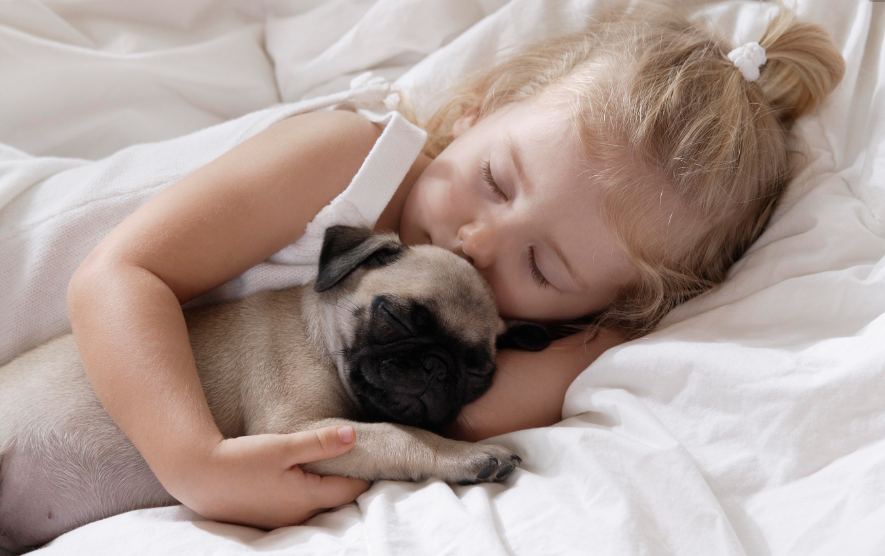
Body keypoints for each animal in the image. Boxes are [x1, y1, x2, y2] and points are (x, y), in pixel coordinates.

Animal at [0, 225, 548, 552]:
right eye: (392, 316)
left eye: (478, 374)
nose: (436, 368)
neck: (319, 336)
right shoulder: (293, 430)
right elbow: (400, 435)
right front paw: (463, 454)